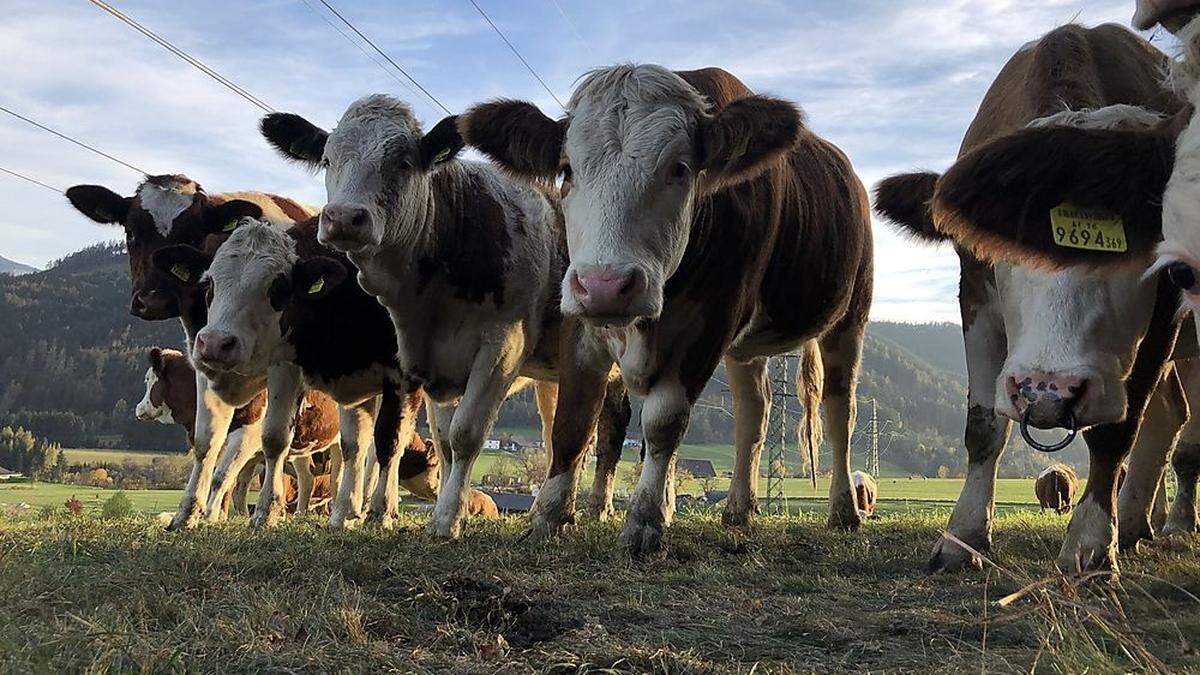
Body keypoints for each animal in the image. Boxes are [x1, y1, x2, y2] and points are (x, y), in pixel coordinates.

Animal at [458, 63, 873, 552]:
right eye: (566, 170)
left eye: (680, 168)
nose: (606, 286)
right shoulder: (580, 318)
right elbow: (573, 421)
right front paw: (548, 517)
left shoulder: (710, 322)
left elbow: (663, 422)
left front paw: (645, 520)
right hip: (746, 349)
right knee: (754, 410)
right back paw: (739, 508)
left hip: (850, 317)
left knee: (839, 410)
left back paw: (844, 510)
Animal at [873, 23, 1200, 569]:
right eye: (1002, 241)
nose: (1048, 391)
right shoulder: (976, 292)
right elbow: (984, 424)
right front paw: (963, 536)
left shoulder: (1164, 313)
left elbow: (1117, 430)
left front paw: (1091, 543)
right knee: (1169, 413)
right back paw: (1137, 522)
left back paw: (1167, 524)